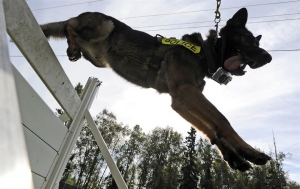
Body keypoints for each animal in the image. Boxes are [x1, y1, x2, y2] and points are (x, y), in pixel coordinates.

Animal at [41, 7, 274, 171]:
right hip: (105, 24)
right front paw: (248, 151)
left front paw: (233, 156)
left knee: (69, 29)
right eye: (246, 39)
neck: (204, 53)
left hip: (99, 60)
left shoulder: (180, 101)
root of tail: (80, 15)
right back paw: (72, 44)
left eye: (256, 42)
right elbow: (222, 120)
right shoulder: (186, 92)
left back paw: (73, 47)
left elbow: (209, 128)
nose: (268, 57)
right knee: (69, 26)